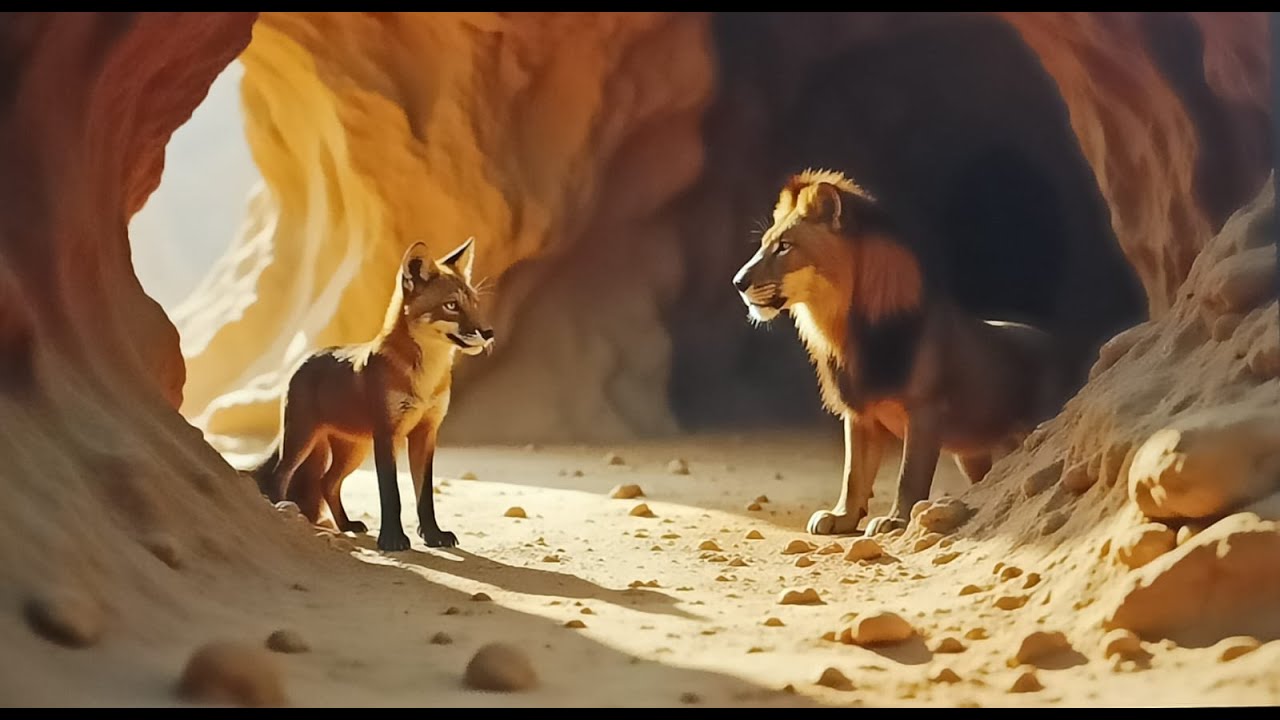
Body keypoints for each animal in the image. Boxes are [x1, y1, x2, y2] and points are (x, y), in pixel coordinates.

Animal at [249, 237, 493, 551]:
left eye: (474, 304)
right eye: (451, 305)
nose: (488, 332)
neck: (425, 381)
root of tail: (305, 358)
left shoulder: (426, 432)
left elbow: (424, 495)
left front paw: (432, 535)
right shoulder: (387, 434)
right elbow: (391, 494)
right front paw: (392, 539)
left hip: (353, 450)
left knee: (327, 483)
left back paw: (345, 524)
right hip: (302, 439)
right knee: (281, 475)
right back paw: (285, 512)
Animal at [733, 169, 1069, 536]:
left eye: (784, 246)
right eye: (765, 243)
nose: (737, 282)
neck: (845, 332)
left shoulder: (925, 410)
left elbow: (909, 475)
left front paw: (895, 520)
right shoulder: (859, 415)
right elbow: (853, 474)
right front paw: (841, 517)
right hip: (974, 456)